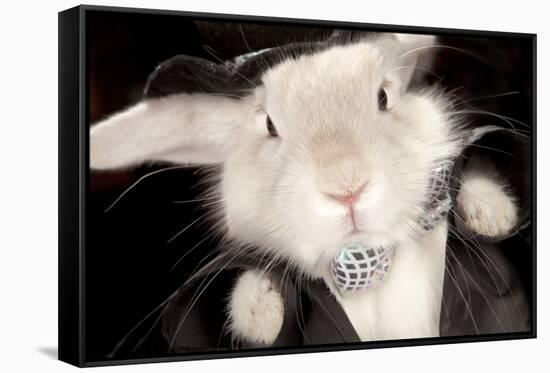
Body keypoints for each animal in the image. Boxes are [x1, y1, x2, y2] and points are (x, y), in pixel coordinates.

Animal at [90, 33, 520, 344]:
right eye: (268, 125)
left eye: (384, 96)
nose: (346, 187)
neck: (368, 261)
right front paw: (259, 313)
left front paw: (492, 214)